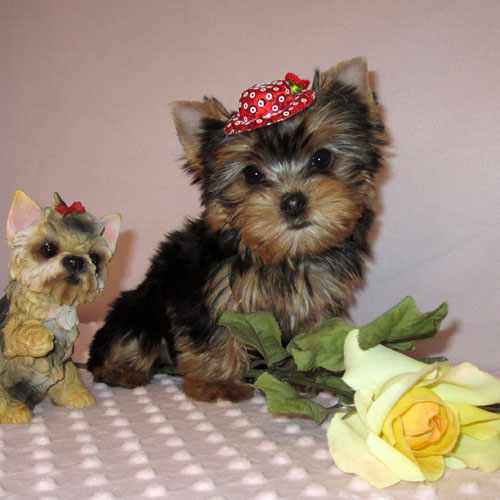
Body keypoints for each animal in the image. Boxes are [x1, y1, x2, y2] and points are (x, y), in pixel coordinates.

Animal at [0, 191, 120, 422]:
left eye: (95, 257)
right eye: (48, 249)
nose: (76, 260)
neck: (54, 304)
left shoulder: (65, 360)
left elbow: (69, 375)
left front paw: (76, 395)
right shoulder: (8, 330)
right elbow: (16, 334)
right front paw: (40, 337)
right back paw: (13, 410)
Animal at [89, 58, 386, 402]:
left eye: (322, 158)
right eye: (252, 174)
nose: (293, 201)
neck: (284, 255)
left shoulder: (317, 298)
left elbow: (310, 333)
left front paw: (306, 373)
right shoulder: (204, 292)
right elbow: (214, 332)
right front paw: (218, 382)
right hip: (140, 308)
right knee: (129, 337)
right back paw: (122, 370)